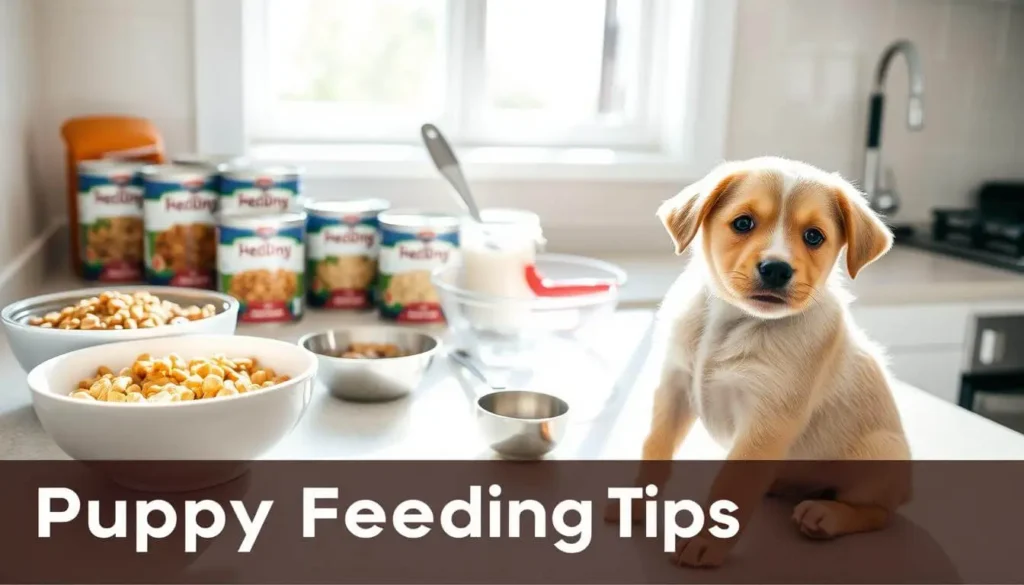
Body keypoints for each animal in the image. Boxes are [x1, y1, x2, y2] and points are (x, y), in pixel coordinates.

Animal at [634, 157, 909, 569]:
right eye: (743, 223)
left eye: (814, 236)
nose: (777, 269)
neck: (731, 323)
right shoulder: (674, 387)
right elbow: (655, 448)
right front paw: (634, 506)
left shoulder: (767, 420)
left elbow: (731, 489)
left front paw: (708, 543)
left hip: (878, 455)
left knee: (878, 513)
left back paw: (825, 515)